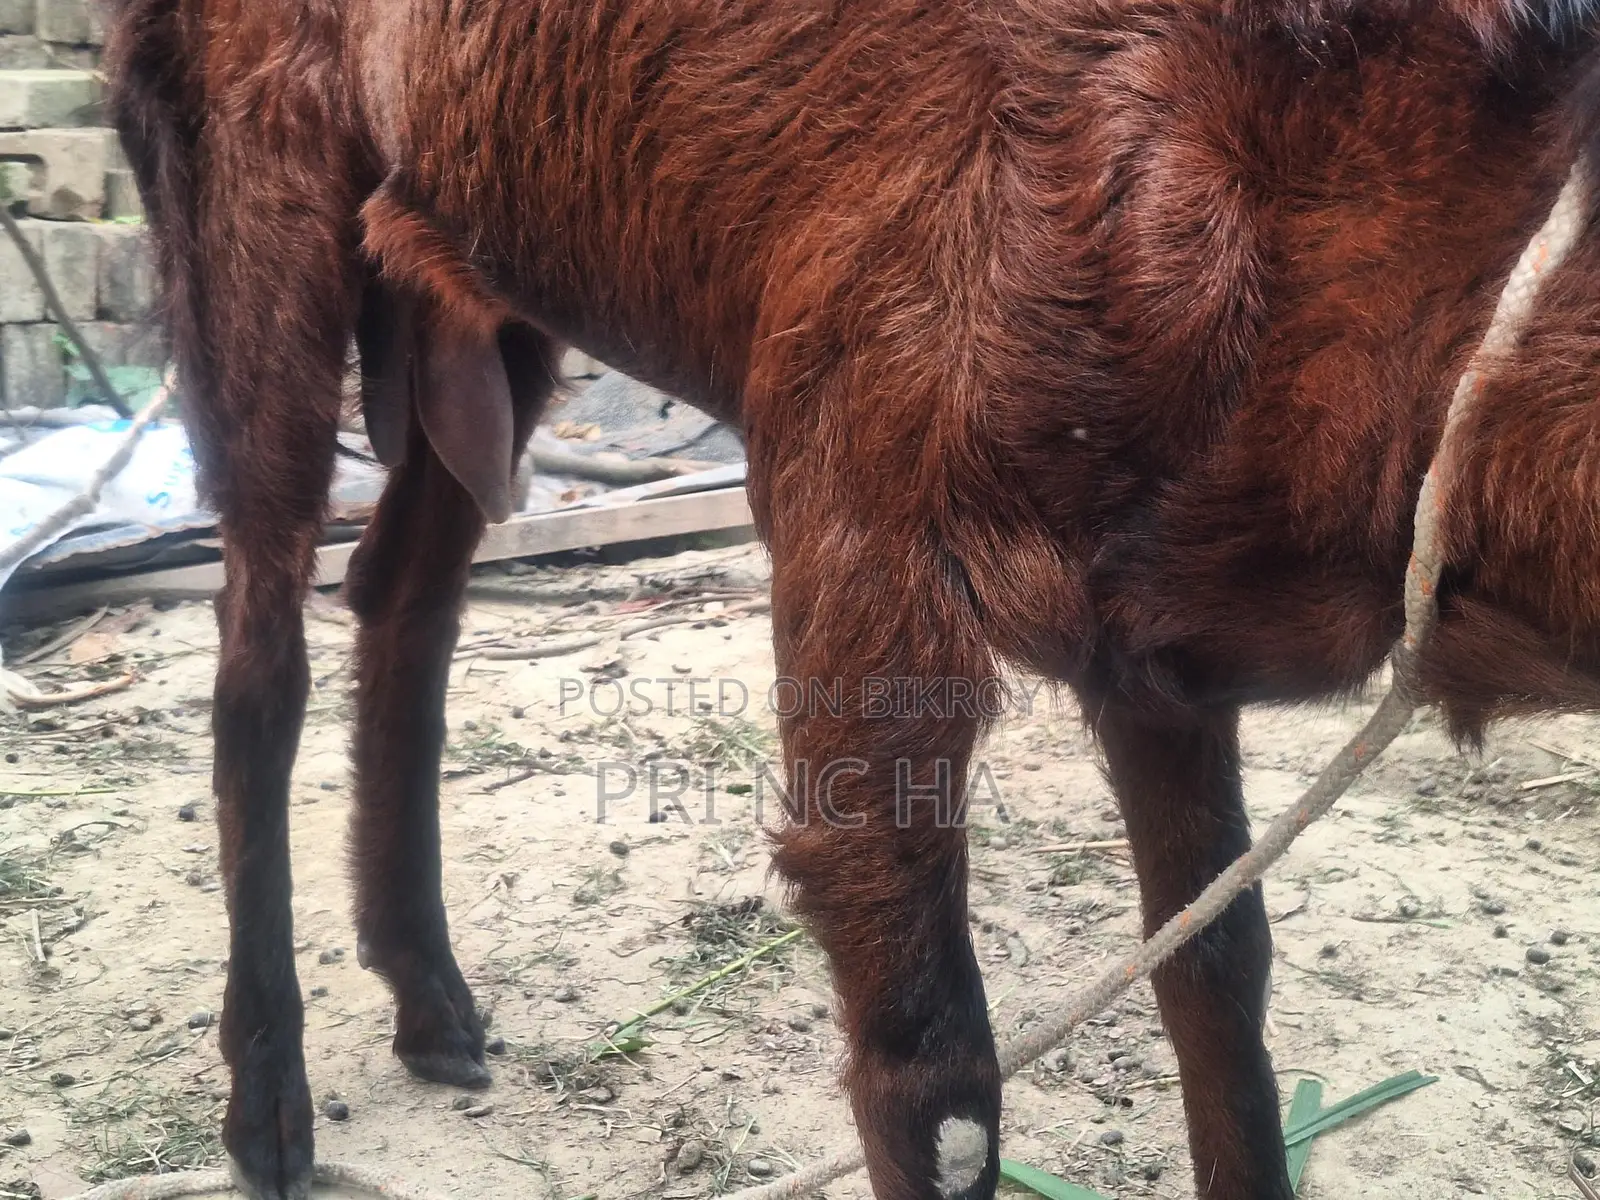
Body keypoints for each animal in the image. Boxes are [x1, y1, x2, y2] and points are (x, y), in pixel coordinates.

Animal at [104, 2, 1600, 1198]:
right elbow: (934, 1074)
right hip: (247, 197)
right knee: (258, 652)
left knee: (403, 591)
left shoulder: (1151, 632)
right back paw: (269, 1111)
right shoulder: (860, 490)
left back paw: (431, 1005)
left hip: (474, 280)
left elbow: (1219, 969)